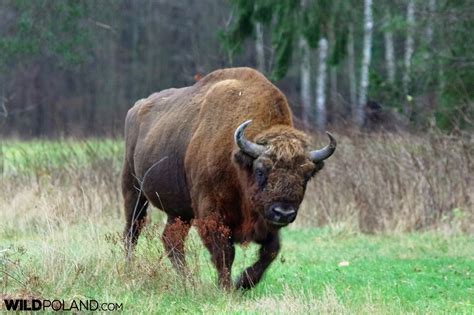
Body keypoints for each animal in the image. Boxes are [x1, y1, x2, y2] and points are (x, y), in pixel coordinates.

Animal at [122, 68, 336, 290]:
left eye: (307, 175)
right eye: (261, 170)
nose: (283, 212)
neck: (237, 164)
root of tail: (136, 108)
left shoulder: (265, 221)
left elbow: (271, 250)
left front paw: (243, 282)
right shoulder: (211, 214)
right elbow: (225, 254)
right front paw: (226, 288)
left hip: (179, 210)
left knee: (171, 239)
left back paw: (189, 281)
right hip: (133, 188)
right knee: (132, 230)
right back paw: (130, 270)